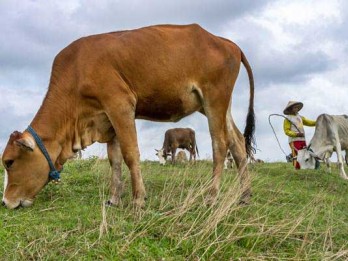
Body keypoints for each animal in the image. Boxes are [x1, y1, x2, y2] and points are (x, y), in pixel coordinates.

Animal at [1, 23, 254, 208]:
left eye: (9, 162)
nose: (4, 202)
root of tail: (224, 41)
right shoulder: (106, 119)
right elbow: (114, 160)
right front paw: (114, 198)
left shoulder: (120, 105)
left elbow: (131, 154)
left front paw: (138, 199)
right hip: (218, 105)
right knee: (237, 142)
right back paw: (245, 195)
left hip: (214, 99)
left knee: (220, 145)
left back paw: (211, 196)